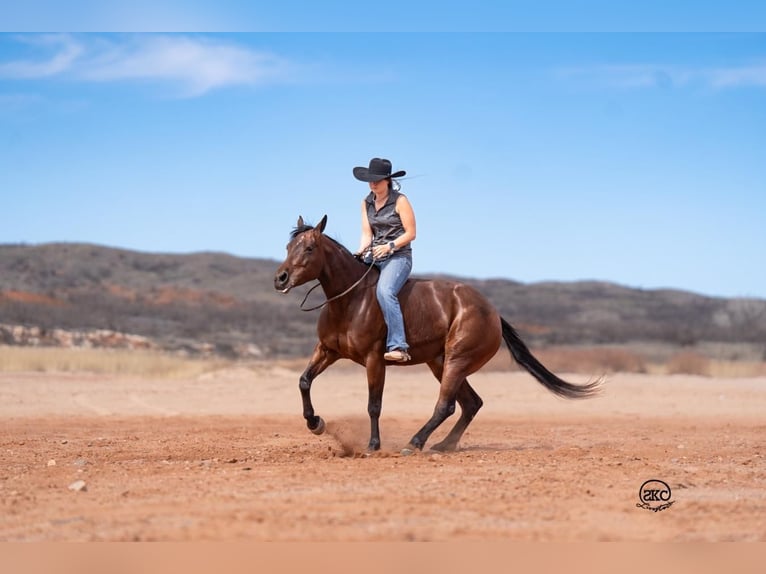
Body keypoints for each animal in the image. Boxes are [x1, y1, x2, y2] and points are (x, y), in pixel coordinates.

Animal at [272, 216, 604, 454]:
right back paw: (443, 445)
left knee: (446, 405)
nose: (281, 279)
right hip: (441, 363)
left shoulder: (374, 360)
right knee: (471, 404)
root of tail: (491, 311)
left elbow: (374, 405)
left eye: (309, 248)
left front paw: (373, 446)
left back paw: (415, 443)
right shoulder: (327, 351)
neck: (351, 300)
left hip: (456, 361)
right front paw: (315, 423)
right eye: (289, 248)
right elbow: (304, 381)